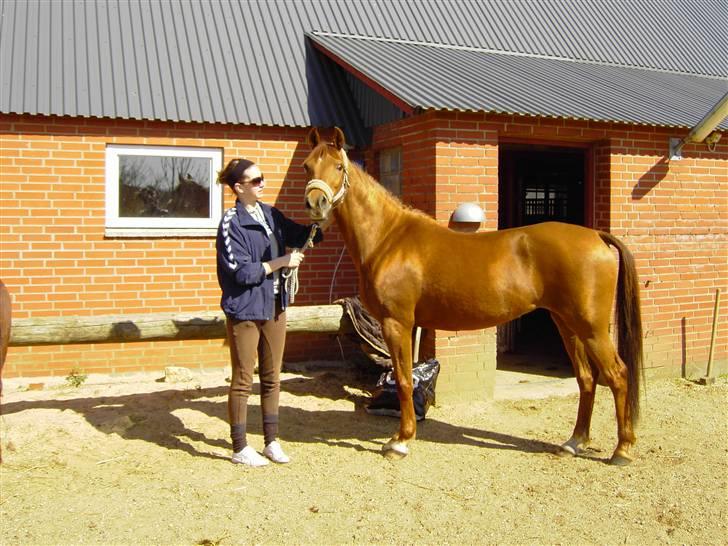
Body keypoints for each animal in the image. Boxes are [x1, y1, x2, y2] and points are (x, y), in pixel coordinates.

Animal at [303, 127, 644, 466]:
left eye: (339, 167)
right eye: (307, 166)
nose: (316, 204)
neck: (389, 239)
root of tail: (596, 236)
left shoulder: (395, 323)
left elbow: (403, 380)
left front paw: (400, 441)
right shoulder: (406, 325)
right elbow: (405, 377)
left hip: (591, 328)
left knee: (617, 375)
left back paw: (623, 450)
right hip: (566, 323)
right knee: (586, 379)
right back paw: (574, 442)